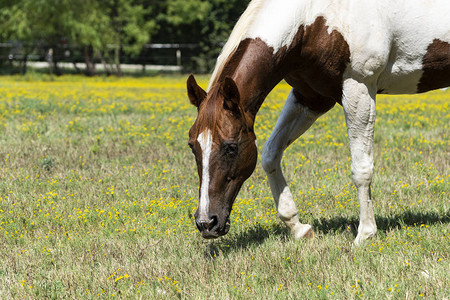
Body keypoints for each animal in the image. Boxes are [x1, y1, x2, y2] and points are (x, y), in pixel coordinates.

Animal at [185, 0, 446, 244]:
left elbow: (361, 168)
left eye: (231, 147)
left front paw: (365, 234)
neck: (313, 18)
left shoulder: (359, 88)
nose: (206, 223)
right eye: (192, 147)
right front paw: (298, 227)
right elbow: (271, 153)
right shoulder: (310, 97)